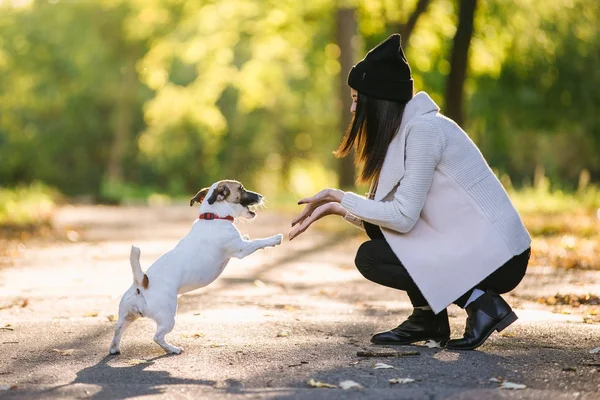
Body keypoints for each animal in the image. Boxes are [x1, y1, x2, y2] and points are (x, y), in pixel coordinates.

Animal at [108, 180, 284, 354]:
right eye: (241, 188)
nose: (261, 196)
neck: (214, 217)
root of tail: (141, 284)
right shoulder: (241, 250)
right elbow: (258, 242)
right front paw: (275, 239)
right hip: (168, 317)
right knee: (157, 337)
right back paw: (173, 349)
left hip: (127, 315)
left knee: (117, 329)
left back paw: (114, 348)